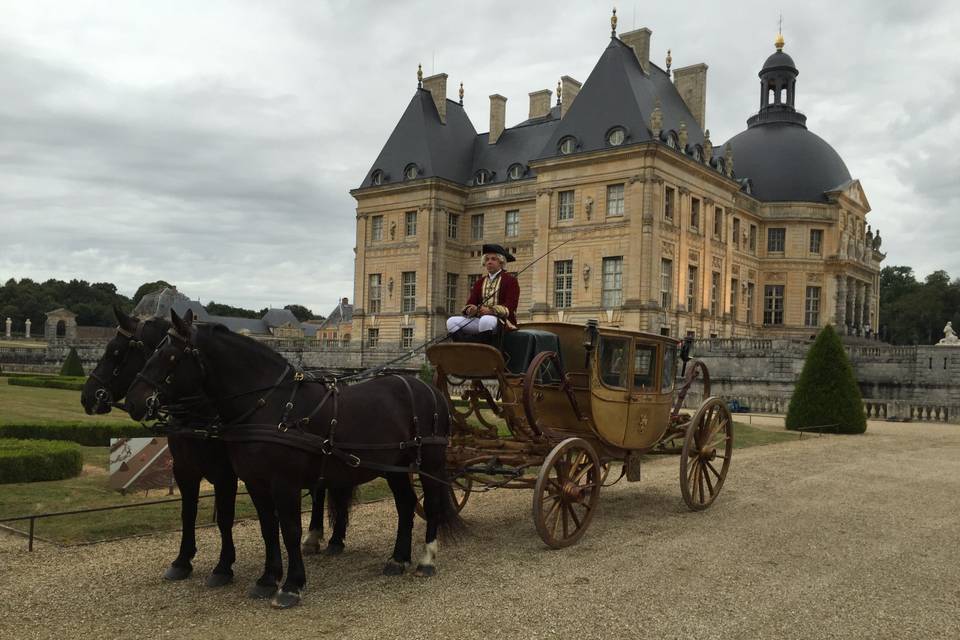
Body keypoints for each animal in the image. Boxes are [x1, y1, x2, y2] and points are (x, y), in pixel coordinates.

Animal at [79, 308, 348, 588]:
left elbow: (225, 517)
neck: (200, 413)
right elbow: (188, 513)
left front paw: (223, 566)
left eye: (116, 352)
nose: (87, 396)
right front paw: (182, 561)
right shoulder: (184, 471)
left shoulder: (225, 474)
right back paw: (321, 538)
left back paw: (324, 537)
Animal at [123, 310, 462, 608]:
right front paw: (267, 578)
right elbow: (268, 528)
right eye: (151, 351)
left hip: (429, 463)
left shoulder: (284, 484)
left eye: (170, 356)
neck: (271, 405)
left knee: (431, 503)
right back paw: (398, 559)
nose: (132, 401)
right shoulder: (256, 483)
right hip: (394, 466)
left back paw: (426, 558)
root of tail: (425, 386)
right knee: (405, 505)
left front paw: (291, 585)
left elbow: (290, 530)